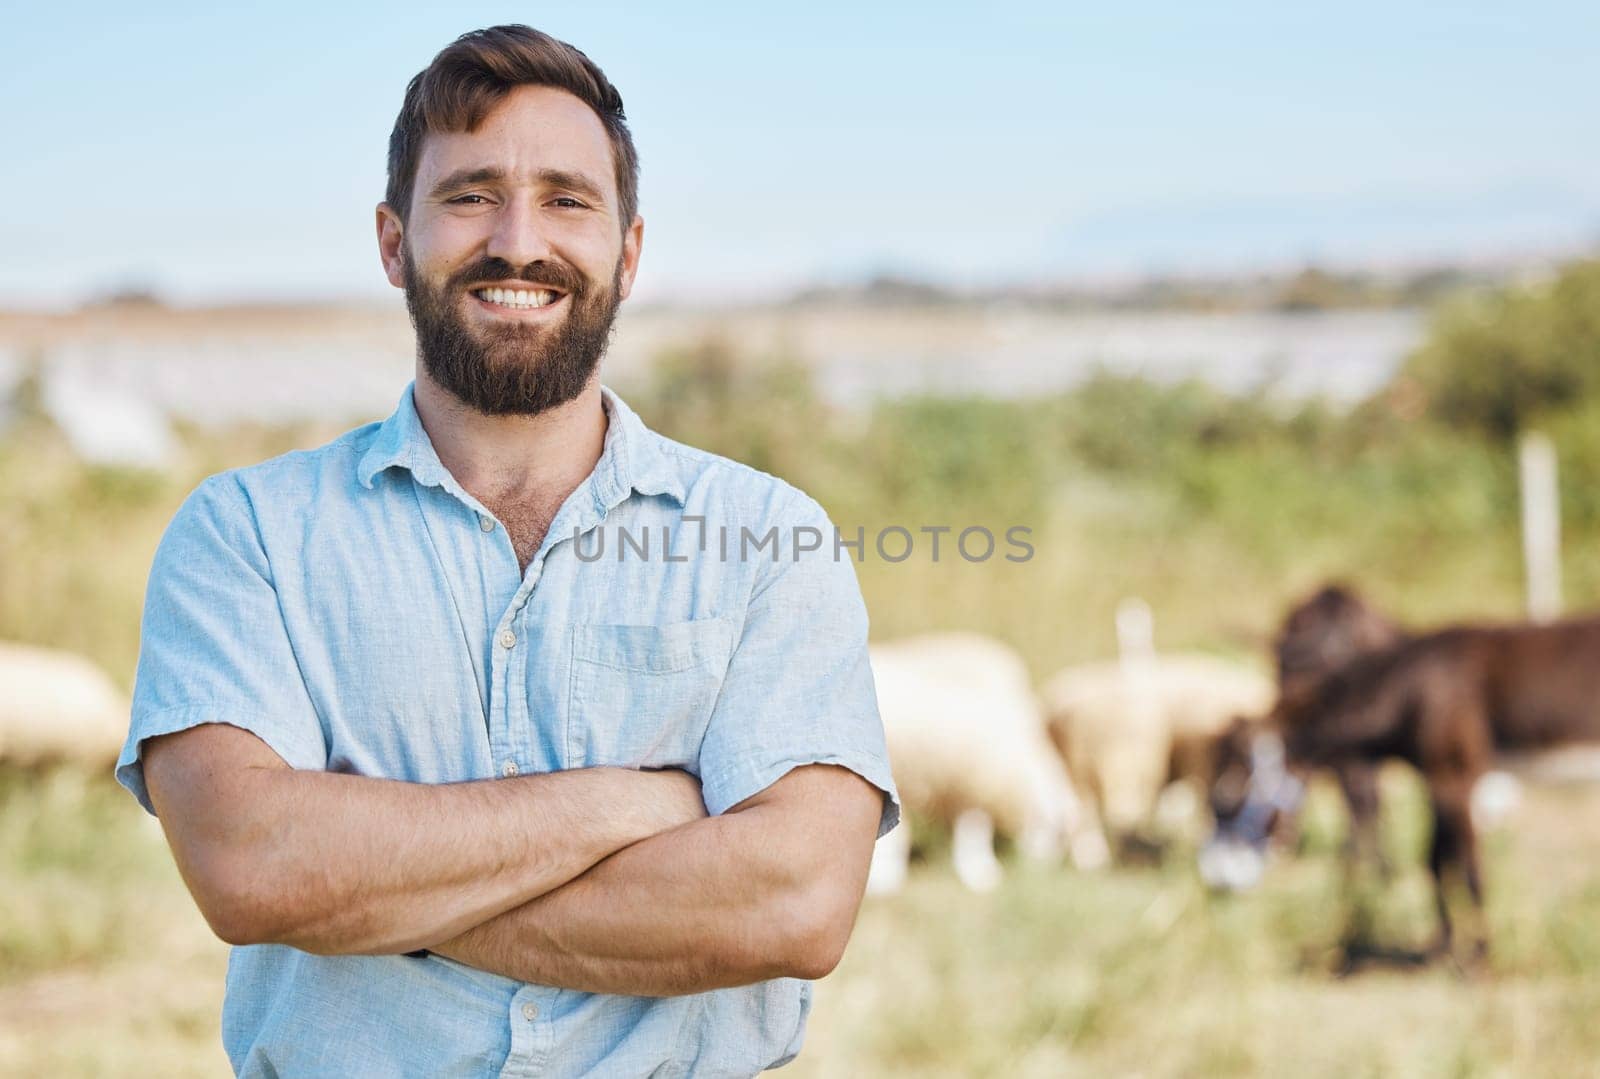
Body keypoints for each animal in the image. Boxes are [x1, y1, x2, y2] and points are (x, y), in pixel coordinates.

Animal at [870, 630, 1107, 890]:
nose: (1037, 873)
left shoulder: (964, 783)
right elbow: (971, 831)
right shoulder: (971, 780)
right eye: (1060, 834)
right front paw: (979, 872)